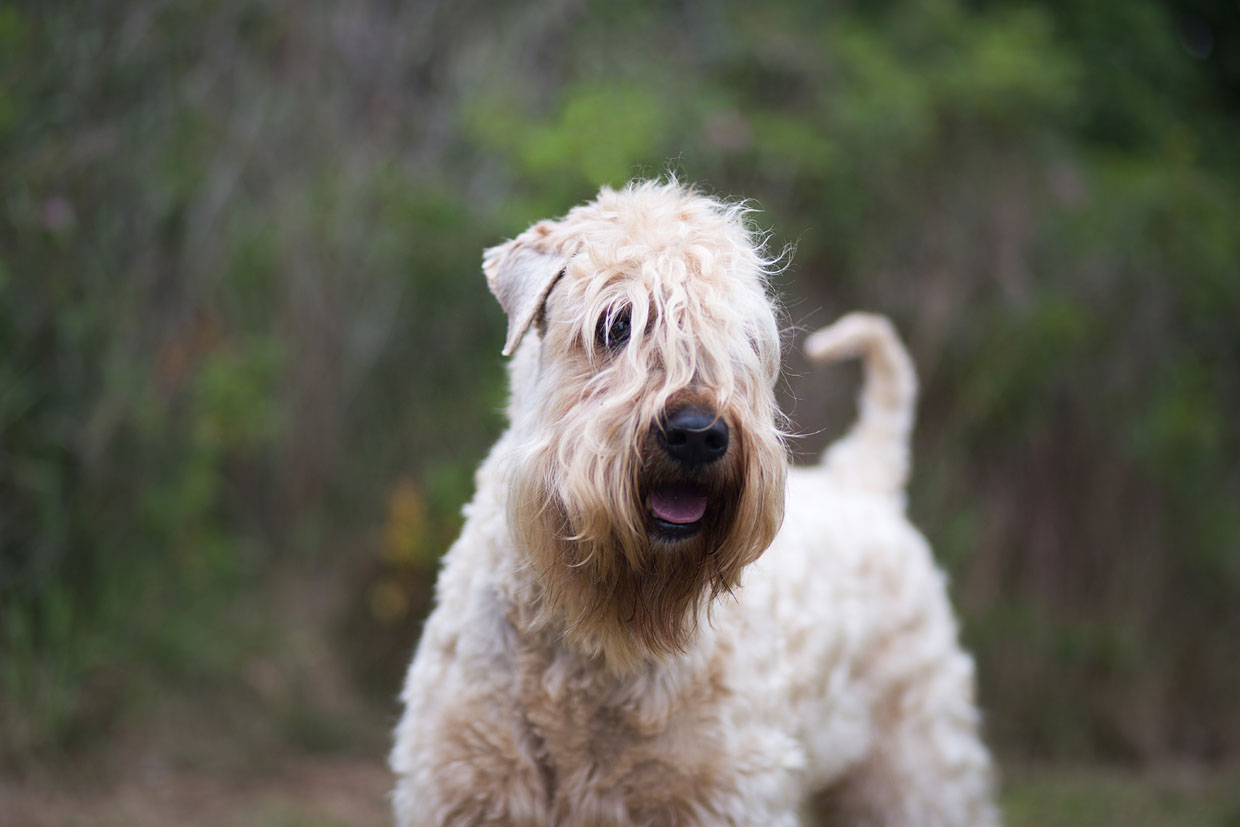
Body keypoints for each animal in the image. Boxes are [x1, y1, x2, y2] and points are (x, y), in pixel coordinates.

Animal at [391, 178, 1001, 823]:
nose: (697, 433)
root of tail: (865, 481)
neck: (592, 642)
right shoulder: (466, 791)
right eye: (616, 323)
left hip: (918, 764)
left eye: (745, 340)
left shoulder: (725, 797)